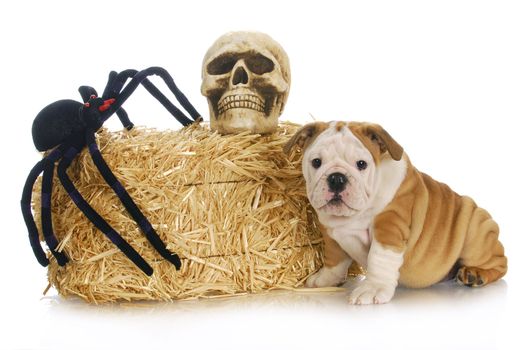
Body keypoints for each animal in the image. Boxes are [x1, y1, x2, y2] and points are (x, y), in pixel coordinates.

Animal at [286, 121, 508, 304]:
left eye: (361, 164)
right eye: (316, 162)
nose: (337, 178)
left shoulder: (389, 227)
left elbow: (379, 259)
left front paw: (372, 289)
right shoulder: (331, 233)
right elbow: (334, 259)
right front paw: (325, 279)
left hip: (476, 230)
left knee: (500, 263)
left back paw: (475, 274)